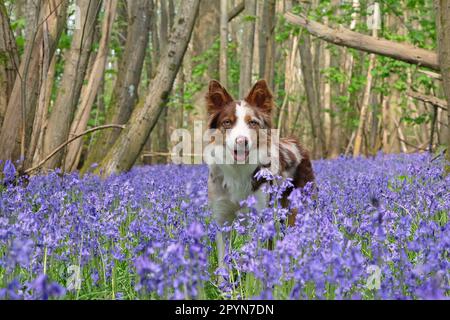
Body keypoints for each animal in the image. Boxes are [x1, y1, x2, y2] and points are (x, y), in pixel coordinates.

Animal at [206, 80, 314, 268]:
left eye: (253, 123)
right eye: (227, 122)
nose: (241, 141)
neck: (238, 172)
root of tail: (296, 142)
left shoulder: (257, 215)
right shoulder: (221, 217)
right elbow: (223, 261)